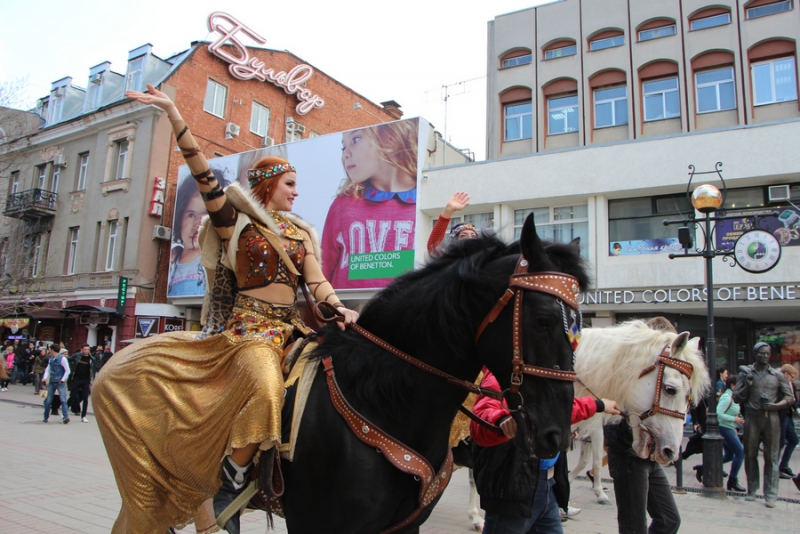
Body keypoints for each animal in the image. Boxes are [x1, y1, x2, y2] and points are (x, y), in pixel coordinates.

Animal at [280, 215, 588, 534]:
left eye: (579, 323)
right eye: (543, 320)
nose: (558, 435)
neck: (376, 397)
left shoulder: (403, 524)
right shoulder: (313, 521)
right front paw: (476, 516)